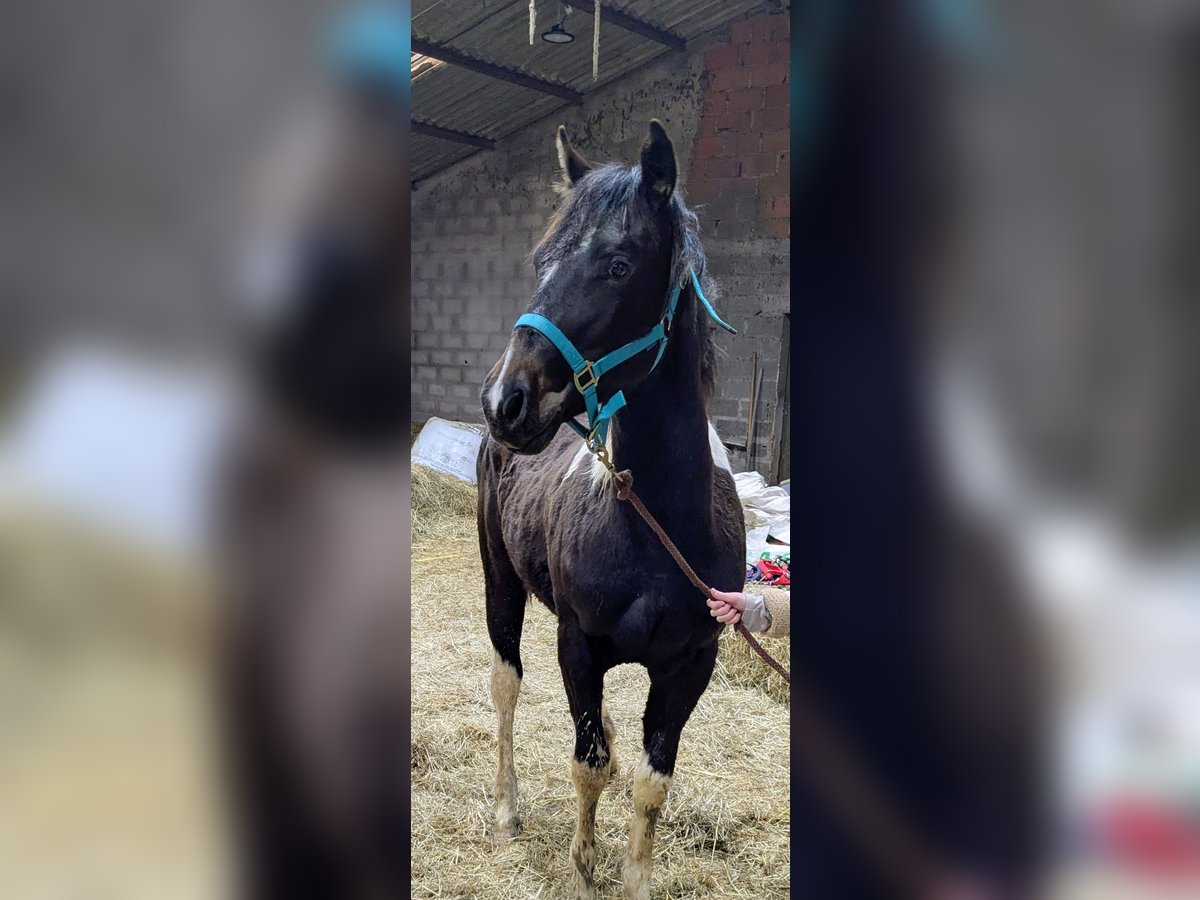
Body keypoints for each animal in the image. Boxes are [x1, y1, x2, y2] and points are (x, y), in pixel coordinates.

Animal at [476, 120, 747, 900]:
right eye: (541, 260)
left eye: (619, 264)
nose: (505, 401)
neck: (657, 527)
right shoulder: (578, 645)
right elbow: (587, 765)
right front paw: (582, 863)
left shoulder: (692, 663)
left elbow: (652, 784)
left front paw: (633, 875)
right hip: (500, 581)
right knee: (506, 685)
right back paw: (505, 810)